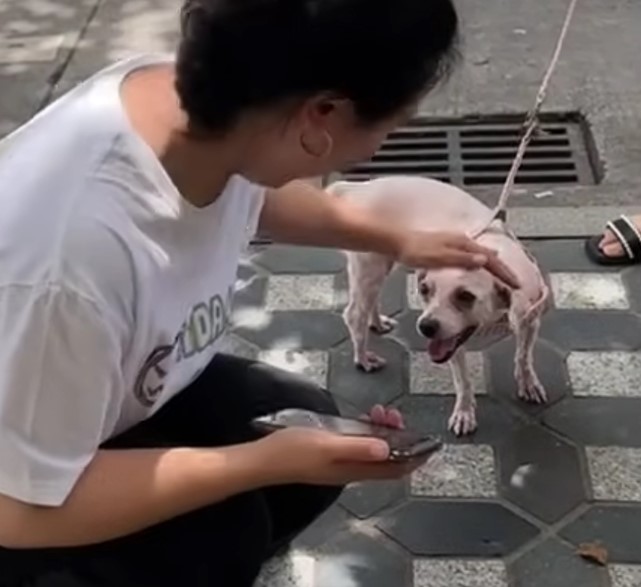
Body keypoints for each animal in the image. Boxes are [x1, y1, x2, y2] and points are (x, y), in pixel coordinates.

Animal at [330, 175, 552, 436]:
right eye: (425, 289)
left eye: (466, 296)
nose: (426, 327)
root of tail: (357, 188)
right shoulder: (451, 344)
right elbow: (463, 381)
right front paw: (464, 413)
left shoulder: (531, 321)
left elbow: (524, 356)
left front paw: (528, 382)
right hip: (369, 267)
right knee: (354, 313)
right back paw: (363, 358)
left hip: (384, 263)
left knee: (370, 302)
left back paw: (376, 323)